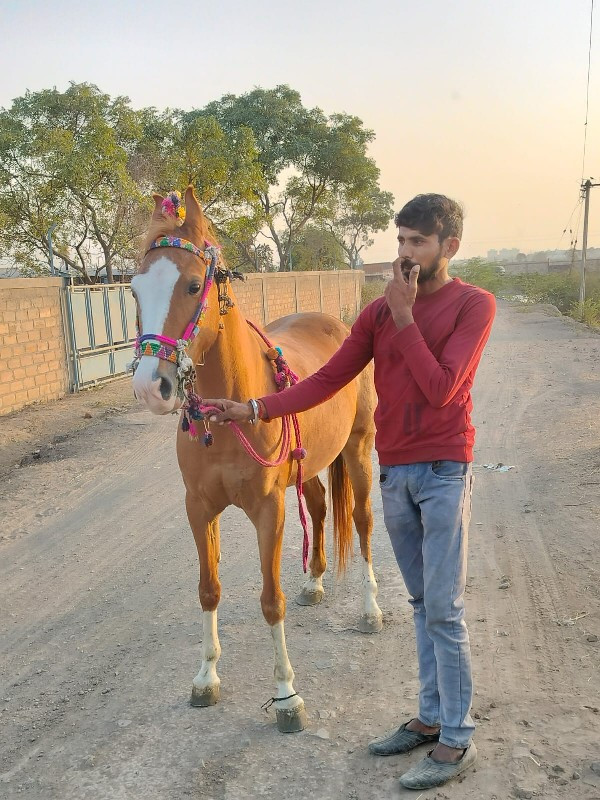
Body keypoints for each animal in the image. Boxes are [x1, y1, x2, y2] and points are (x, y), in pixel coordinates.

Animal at [132, 186, 384, 732]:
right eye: (136, 290)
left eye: (191, 285)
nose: (149, 387)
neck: (229, 415)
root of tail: (337, 325)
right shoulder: (199, 508)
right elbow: (209, 589)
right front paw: (206, 678)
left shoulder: (269, 509)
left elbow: (271, 601)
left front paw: (287, 695)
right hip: (308, 466)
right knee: (320, 507)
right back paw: (315, 581)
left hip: (358, 449)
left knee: (363, 521)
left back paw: (370, 609)